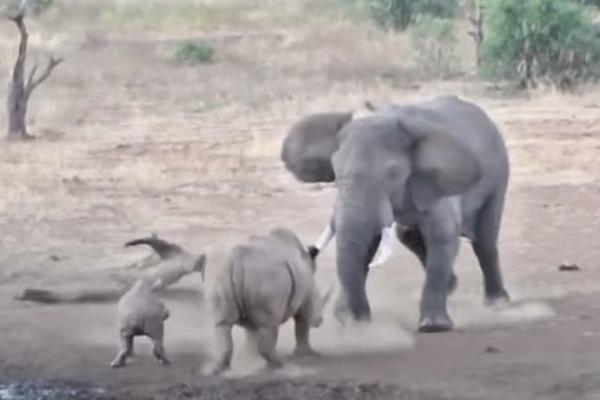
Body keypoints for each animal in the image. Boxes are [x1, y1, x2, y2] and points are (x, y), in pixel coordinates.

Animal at [211, 228, 332, 376]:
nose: (320, 321)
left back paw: (219, 370)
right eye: (320, 301)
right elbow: (302, 324)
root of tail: (237, 259)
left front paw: (252, 360)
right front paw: (308, 354)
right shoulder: (306, 297)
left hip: (223, 275)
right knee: (270, 324)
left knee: (222, 324)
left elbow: (251, 332)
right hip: (267, 277)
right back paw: (278, 366)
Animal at [282, 95, 510, 332]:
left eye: (392, 174)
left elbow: (443, 236)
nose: (359, 319)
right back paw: (452, 286)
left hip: (498, 176)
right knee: (406, 233)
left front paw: (433, 326)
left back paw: (497, 304)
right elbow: (367, 245)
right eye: (335, 173)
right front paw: (351, 321)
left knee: (484, 241)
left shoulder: (437, 181)